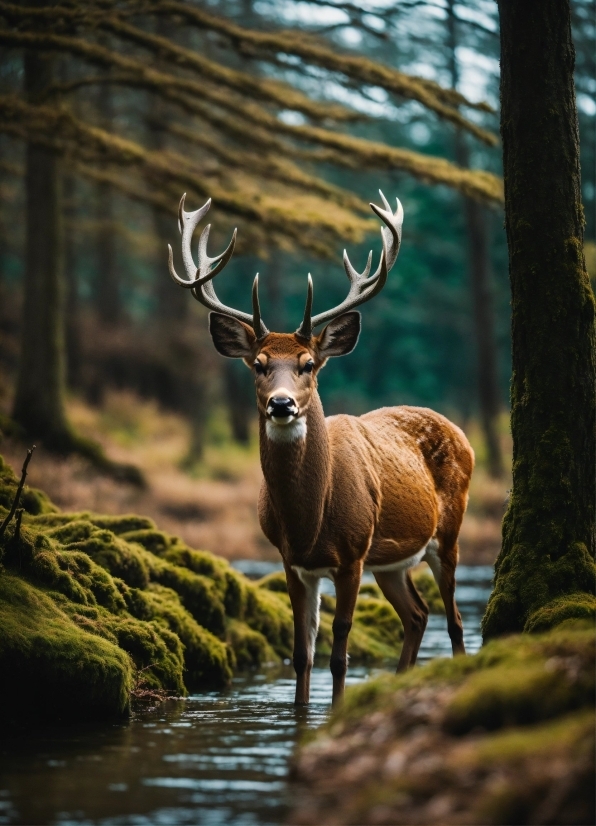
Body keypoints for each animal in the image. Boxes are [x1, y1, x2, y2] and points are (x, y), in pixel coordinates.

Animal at [168, 192, 474, 700]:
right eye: (258, 364)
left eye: (308, 363)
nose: (282, 403)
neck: (310, 522)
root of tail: (459, 431)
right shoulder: (291, 560)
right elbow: (301, 654)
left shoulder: (351, 554)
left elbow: (338, 655)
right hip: (390, 561)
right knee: (417, 615)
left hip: (446, 532)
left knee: (453, 619)